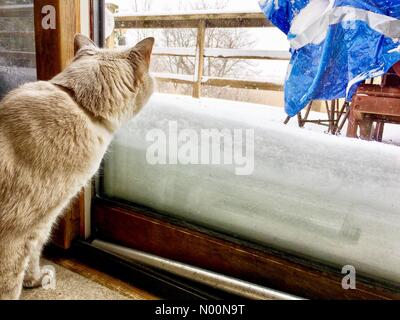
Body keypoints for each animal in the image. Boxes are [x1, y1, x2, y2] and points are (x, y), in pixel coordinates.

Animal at [0, 33, 155, 298]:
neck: (78, 102)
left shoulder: (41, 224)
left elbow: (33, 255)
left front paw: (34, 280)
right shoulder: (22, 232)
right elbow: (15, 277)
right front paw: (36, 280)